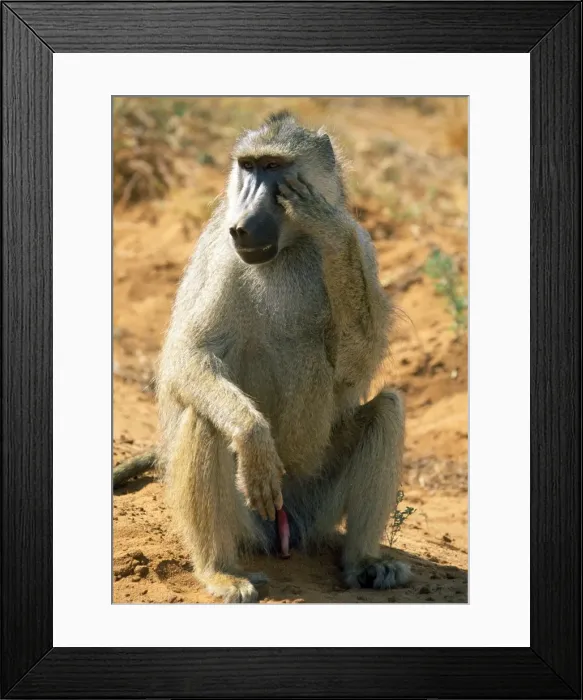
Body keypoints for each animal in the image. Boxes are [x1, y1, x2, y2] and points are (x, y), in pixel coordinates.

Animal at [121, 111, 411, 602]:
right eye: (249, 167)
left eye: (275, 167)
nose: (243, 224)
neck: (287, 250)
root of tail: (285, 527)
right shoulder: (224, 255)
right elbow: (188, 356)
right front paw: (254, 438)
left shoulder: (363, 247)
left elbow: (352, 372)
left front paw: (326, 225)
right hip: (250, 518)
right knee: (205, 417)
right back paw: (219, 570)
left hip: (317, 502)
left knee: (387, 409)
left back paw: (363, 562)